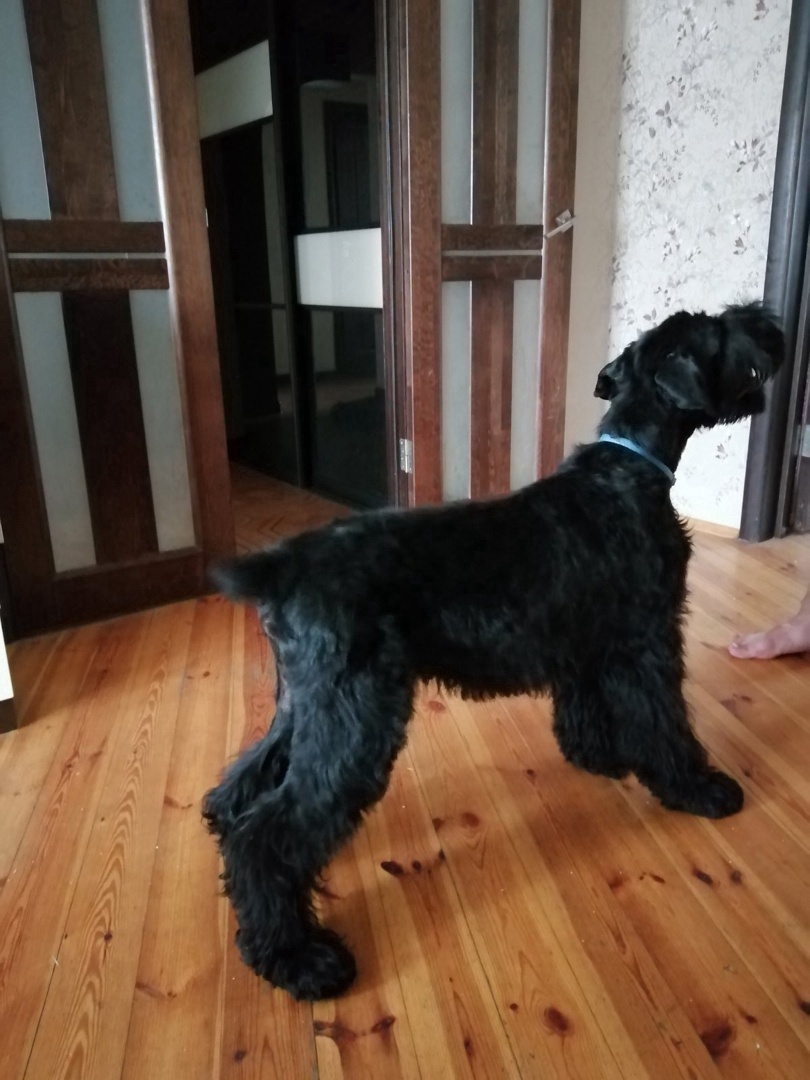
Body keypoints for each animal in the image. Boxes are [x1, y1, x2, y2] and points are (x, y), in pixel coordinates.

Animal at [203, 302, 783, 1001]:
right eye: (714, 328)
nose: (765, 319)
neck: (628, 470)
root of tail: (284, 565)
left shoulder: (588, 643)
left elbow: (585, 707)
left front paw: (597, 756)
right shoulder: (648, 639)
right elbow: (667, 724)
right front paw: (697, 789)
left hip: (306, 706)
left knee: (244, 787)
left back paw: (229, 846)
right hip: (355, 722)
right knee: (269, 836)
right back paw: (299, 959)